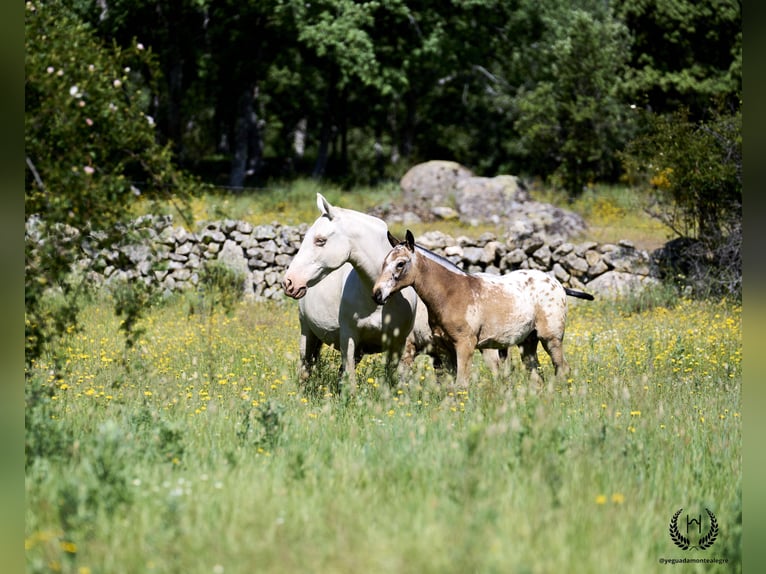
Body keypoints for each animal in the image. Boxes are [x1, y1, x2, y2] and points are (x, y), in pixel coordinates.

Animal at [284, 195, 428, 392]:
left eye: (320, 240)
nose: (289, 282)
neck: (379, 301)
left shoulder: (397, 343)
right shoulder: (349, 338)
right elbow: (350, 379)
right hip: (307, 332)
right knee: (305, 367)